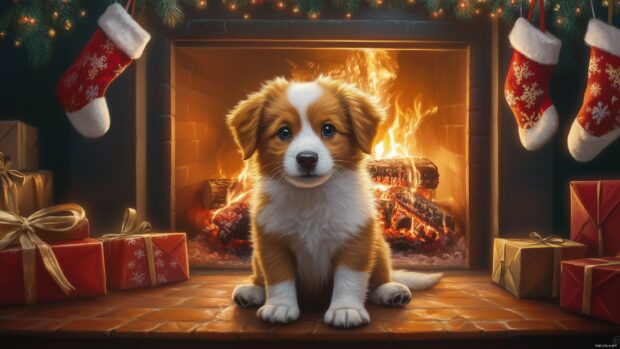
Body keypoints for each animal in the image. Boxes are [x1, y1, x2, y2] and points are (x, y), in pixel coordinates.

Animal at [226, 75, 440, 328]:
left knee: (380, 277)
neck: (311, 196)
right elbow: (278, 277)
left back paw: (391, 291)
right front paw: (280, 306)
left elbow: (349, 278)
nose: (307, 159)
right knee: (260, 277)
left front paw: (345, 309)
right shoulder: (271, 241)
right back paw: (253, 291)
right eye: (284, 132)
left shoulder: (356, 238)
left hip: (379, 247)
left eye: (328, 129)